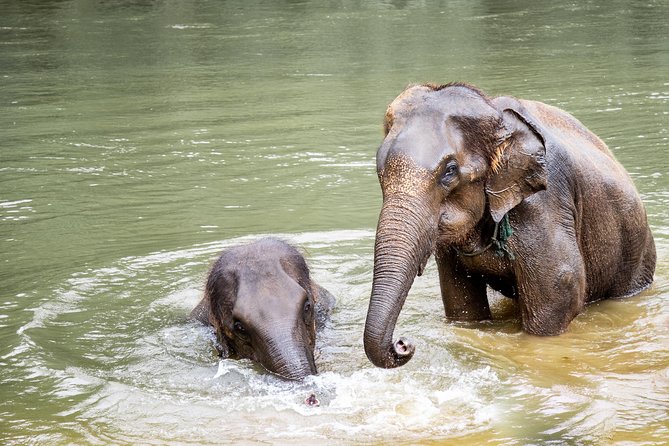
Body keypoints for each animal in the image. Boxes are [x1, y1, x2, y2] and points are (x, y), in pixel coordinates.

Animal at [362, 82, 656, 368]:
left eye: (449, 172)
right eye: (380, 172)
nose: (403, 344)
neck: (494, 113)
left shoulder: (544, 203)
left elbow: (561, 289)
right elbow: (460, 302)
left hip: (635, 257)